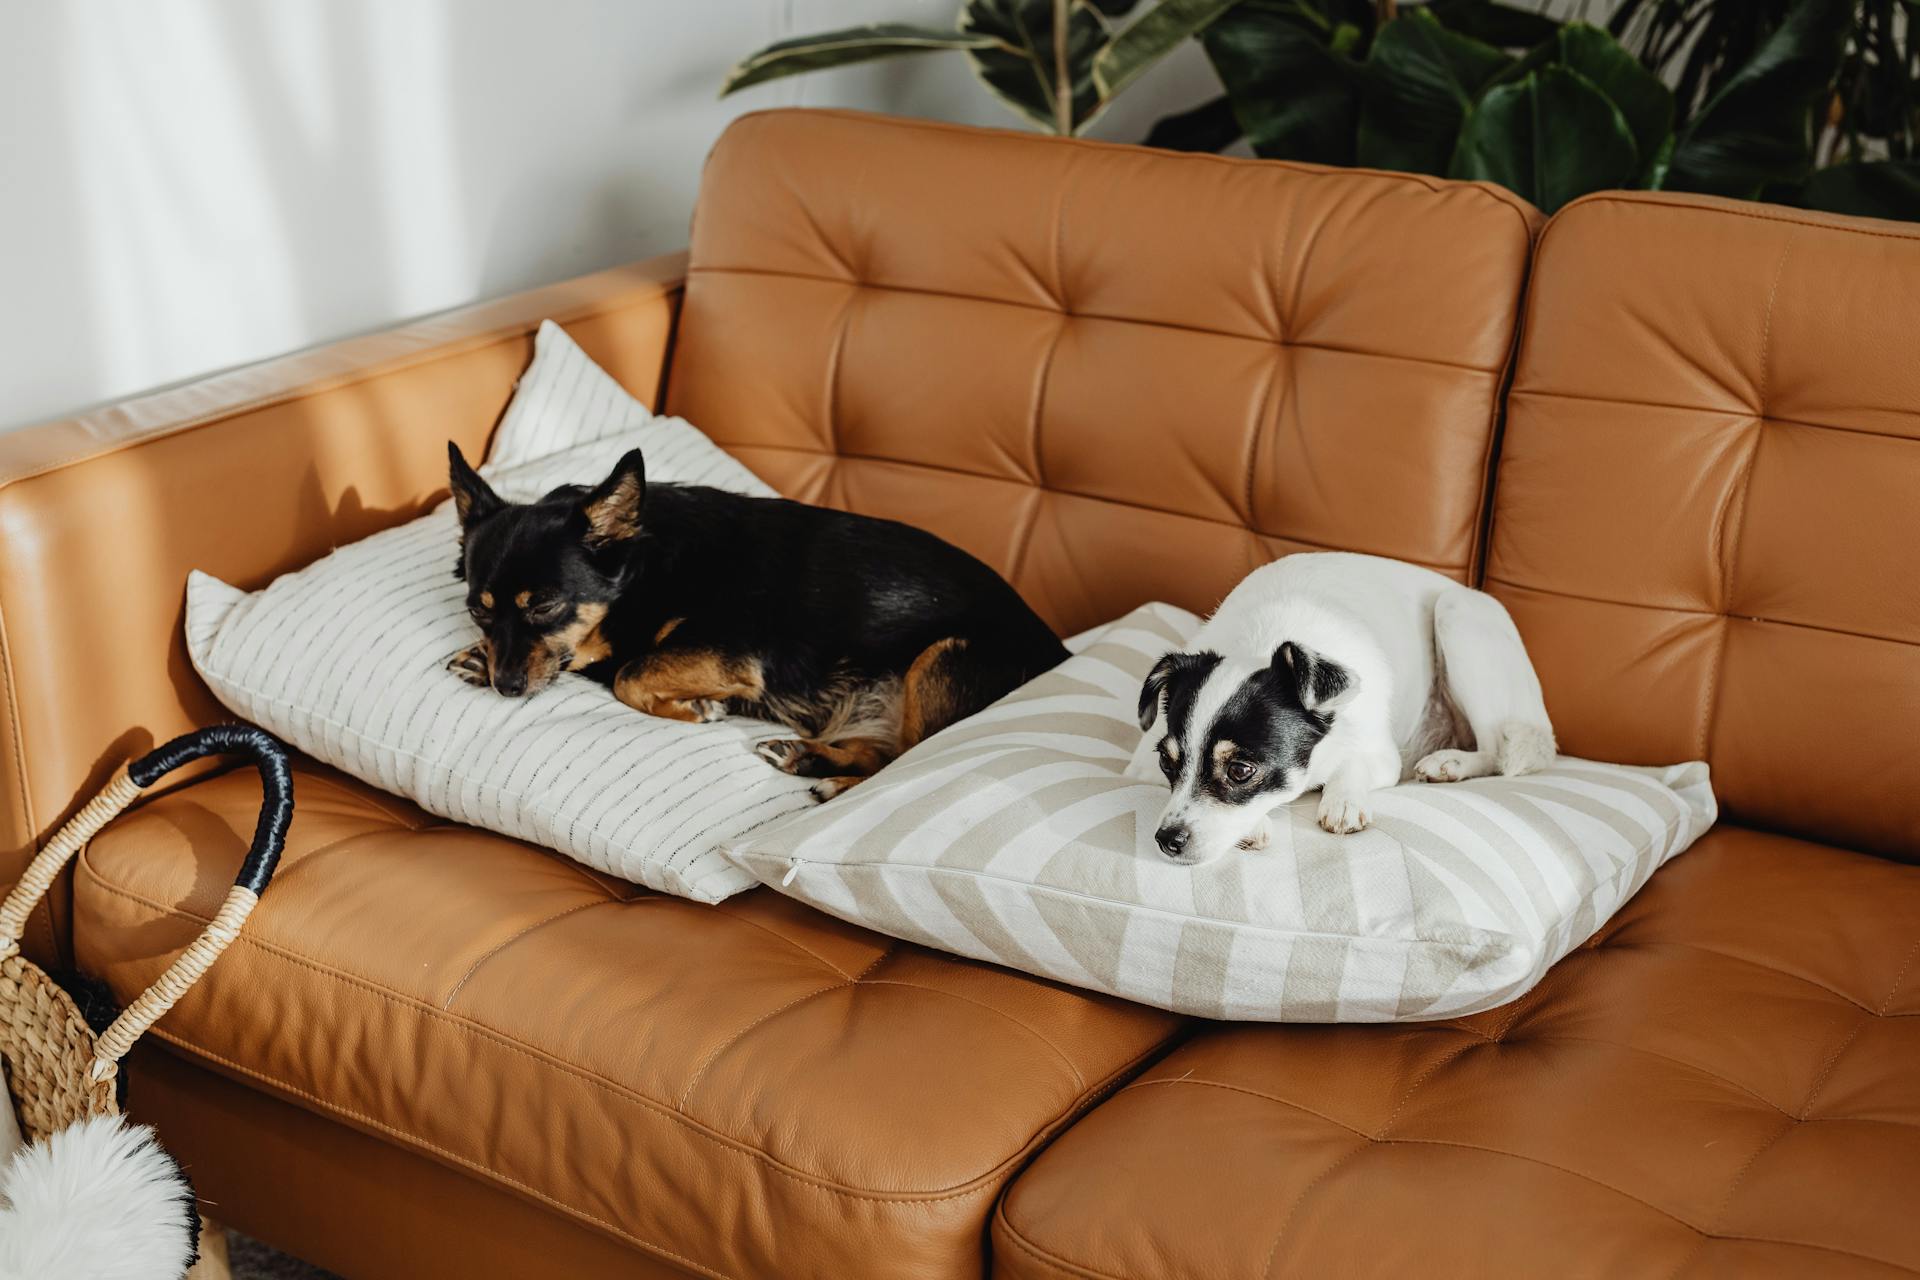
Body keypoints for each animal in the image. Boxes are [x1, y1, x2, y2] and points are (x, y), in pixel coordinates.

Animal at [443, 445, 1067, 794]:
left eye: (544, 605)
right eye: (478, 609)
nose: (506, 687)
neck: (647, 567)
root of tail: (1059, 651)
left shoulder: (732, 651)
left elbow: (630, 673)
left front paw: (695, 709)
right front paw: (479, 656)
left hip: (943, 656)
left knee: (906, 762)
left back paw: (830, 780)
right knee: (887, 754)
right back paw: (806, 756)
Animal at [1128, 548, 1551, 859]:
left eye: (1241, 771)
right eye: (1166, 762)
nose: (1167, 839)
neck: (1261, 644)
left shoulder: (1384, 757)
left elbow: (1352, 765)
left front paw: (1342, 799)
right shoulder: (1142, 769)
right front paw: (1254, 823)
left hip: (1456, 617)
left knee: (1498, 752)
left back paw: (1451, 763)